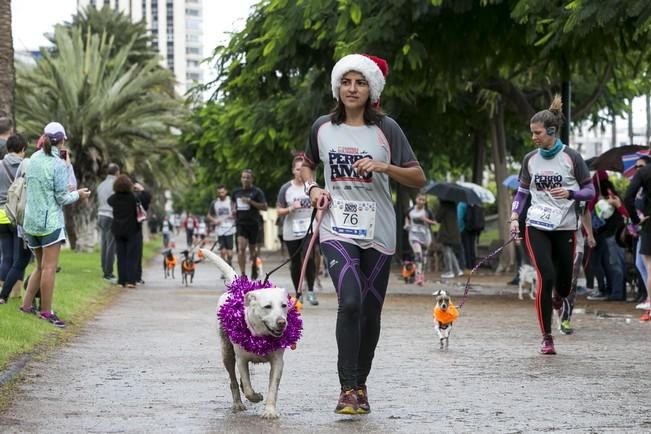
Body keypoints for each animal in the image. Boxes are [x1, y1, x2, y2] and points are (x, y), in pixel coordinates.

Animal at [201, 249, 288, 418]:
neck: (260, 335)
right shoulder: (241, 360)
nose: (282, 322)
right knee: (233, 381)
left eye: (284, 305)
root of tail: (236, 286)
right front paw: (255, 397)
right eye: (267, 306)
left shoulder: (278, 362)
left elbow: (273, 387)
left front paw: (269, 411)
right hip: (227, 354)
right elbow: (247, 388)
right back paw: (237, 404)